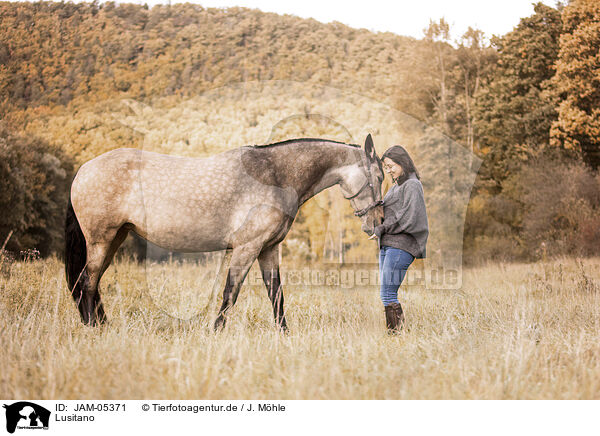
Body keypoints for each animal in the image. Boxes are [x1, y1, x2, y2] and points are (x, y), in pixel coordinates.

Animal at [65, 134, 384, 330]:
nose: (377, 222)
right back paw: (93, 328)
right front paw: (215, 332)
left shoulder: (268, 249)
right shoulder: (247, 248)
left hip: (114, 239)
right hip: (101, 240)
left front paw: (284, 334)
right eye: (379, 177)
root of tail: (84, 170)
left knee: (92, 284)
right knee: (87, 283)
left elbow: (276, 294)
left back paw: (102, 325)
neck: (275, 175)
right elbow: (231, 291)